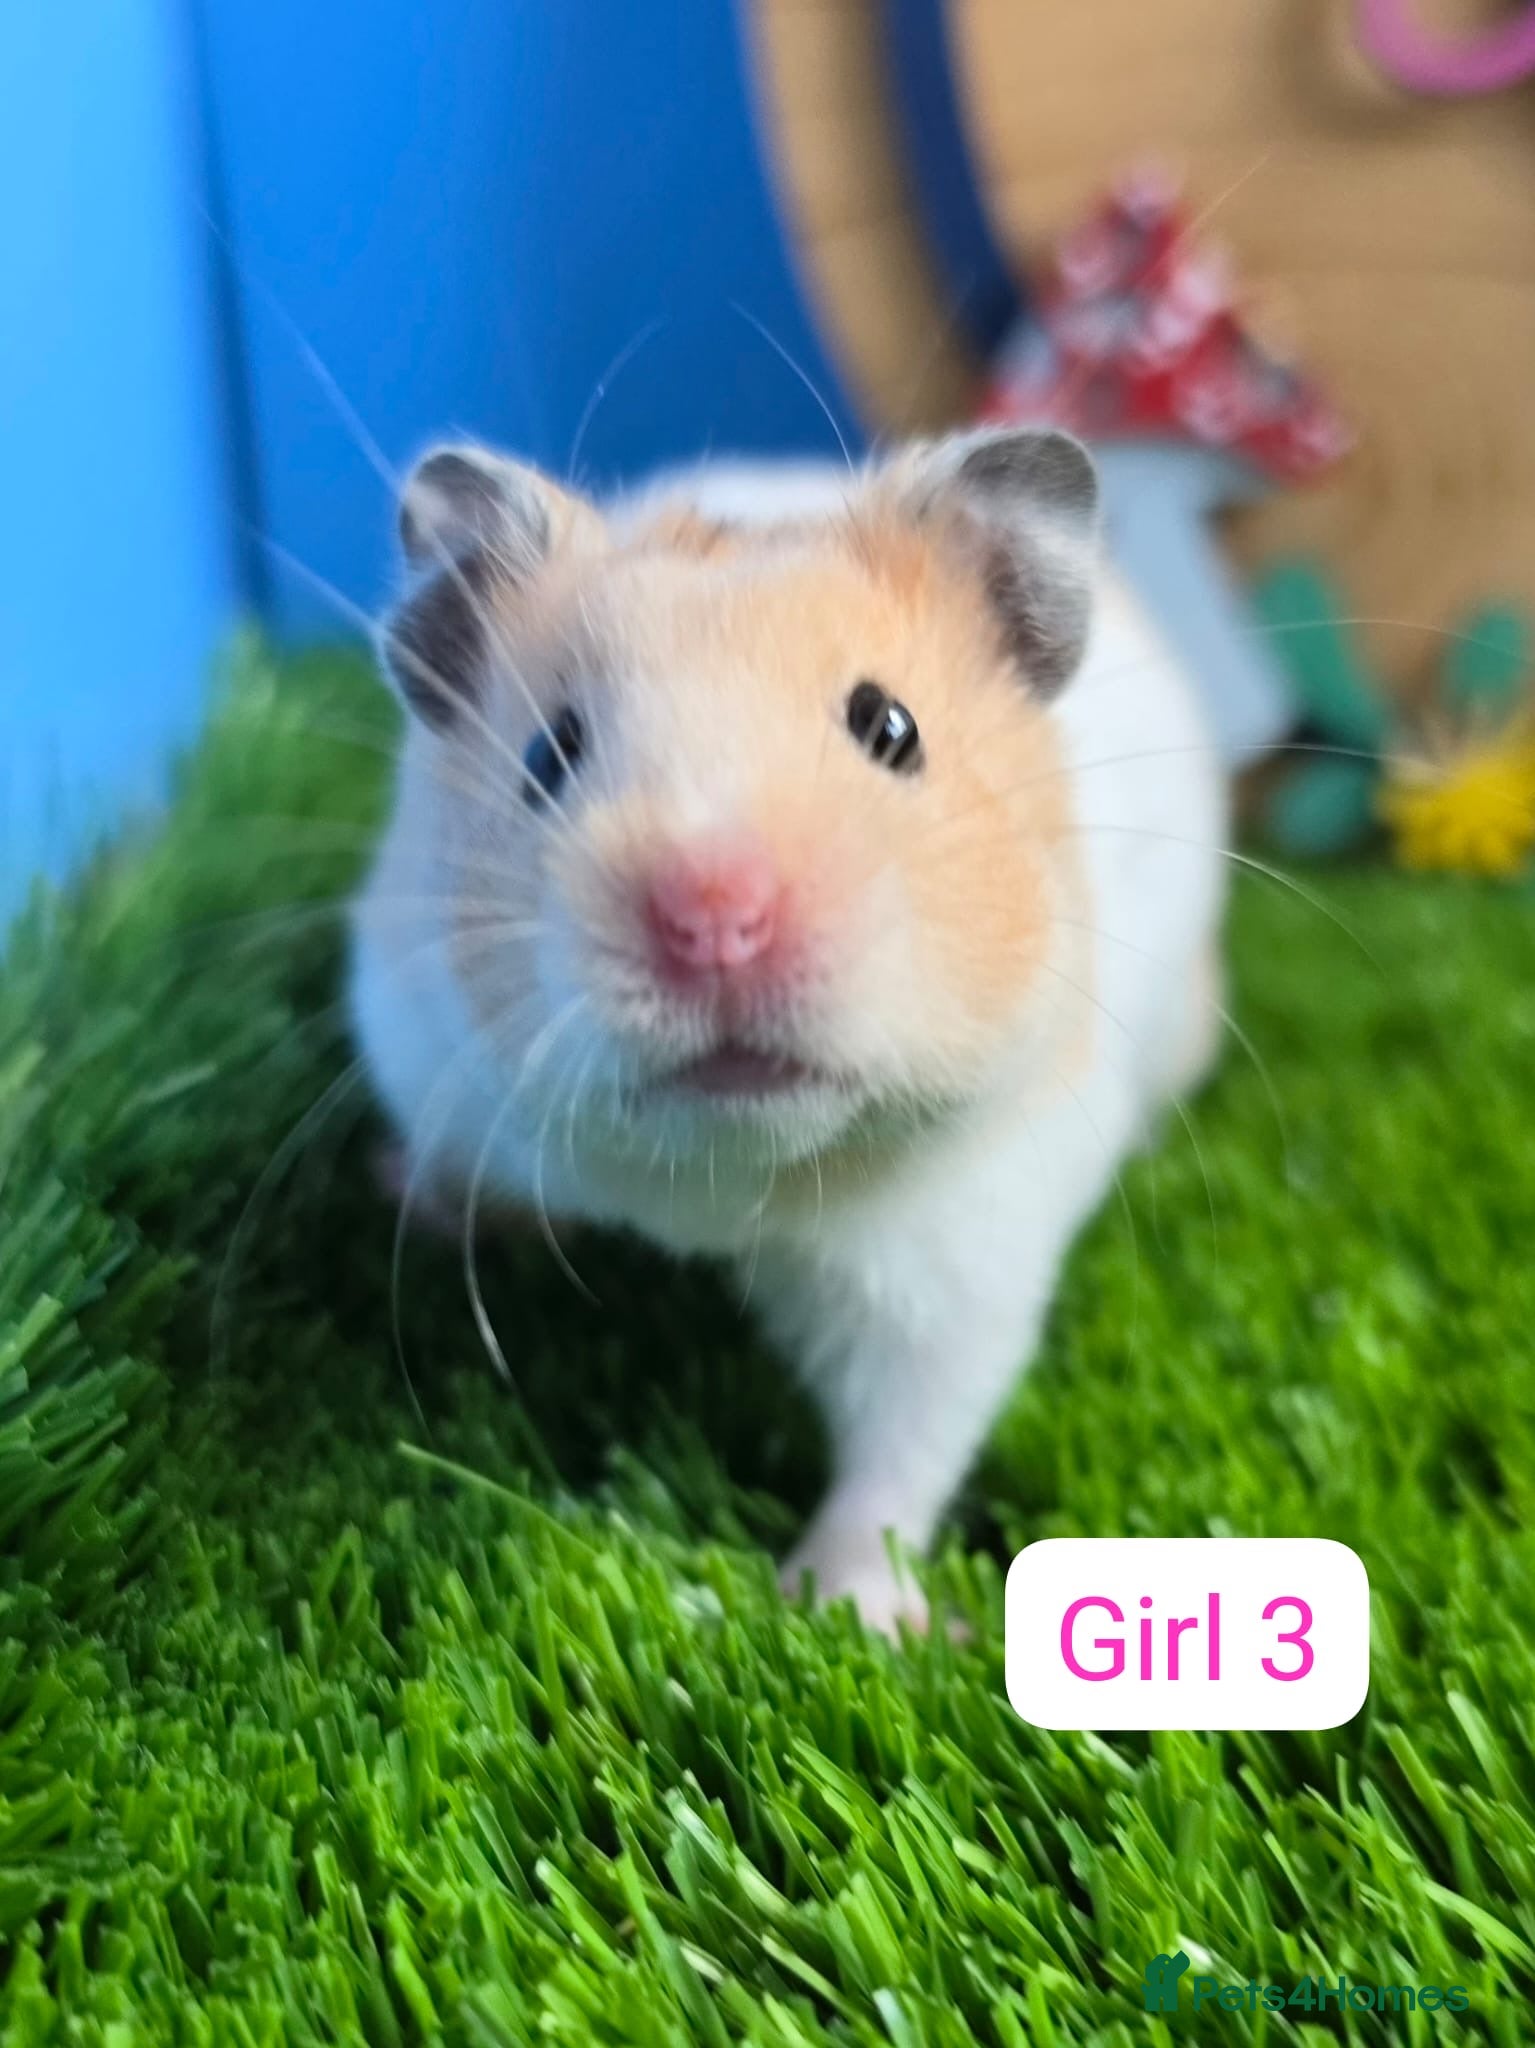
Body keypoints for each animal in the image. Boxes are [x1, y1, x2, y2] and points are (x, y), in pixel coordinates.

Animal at [349, 428, 1227, 1634]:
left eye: (891, 728)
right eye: (547, 754)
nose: (715, 919)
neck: (720, 1182)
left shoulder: (959, 1249)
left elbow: (903, 1447)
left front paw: (851, 1614)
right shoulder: (425, 1051)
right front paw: (413, 1197)